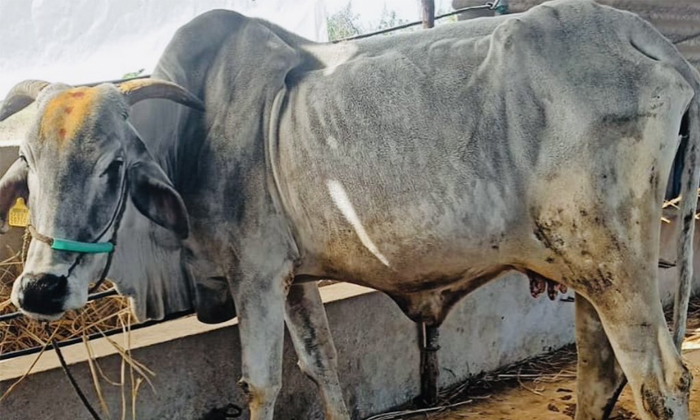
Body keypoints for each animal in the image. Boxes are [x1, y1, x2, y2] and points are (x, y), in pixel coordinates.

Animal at [0, 0, 699, 419]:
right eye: (27, 165)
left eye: (114, 165)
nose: (38, 290)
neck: (189, 137)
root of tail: (645, 36)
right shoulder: (294, 280)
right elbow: (323, 368)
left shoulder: (255, 276)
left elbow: (261, 382)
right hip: (590, 275)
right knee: (600, 375)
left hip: (611, 267)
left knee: (660, 383)